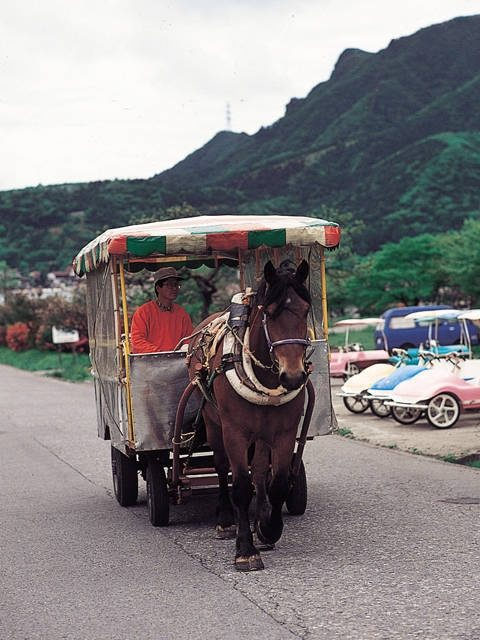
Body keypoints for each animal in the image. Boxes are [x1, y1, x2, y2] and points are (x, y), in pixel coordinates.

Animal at [187, 259, 312, 571]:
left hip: (262, 434)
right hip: (214, 424)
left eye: (305, 310)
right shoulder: (235, 432)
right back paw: (225, 520)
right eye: (270, 313)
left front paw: (268, 528)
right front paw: (245, 549)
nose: (293, 376)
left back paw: (260, 517)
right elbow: (240, 486)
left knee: (259, 471)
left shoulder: (283, 432)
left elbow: (277, 482)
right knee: (222, 468)